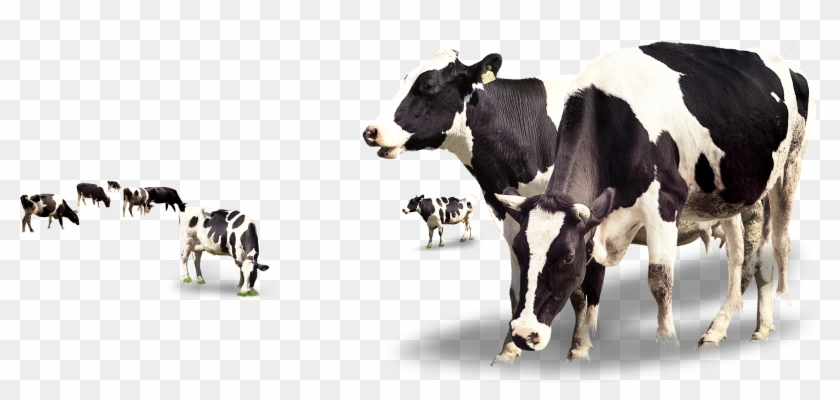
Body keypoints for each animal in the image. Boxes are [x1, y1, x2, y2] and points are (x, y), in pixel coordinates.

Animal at [362, 49, 768, 364]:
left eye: (427, 85)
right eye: (405, 78)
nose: (371, 131)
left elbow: (586, 287)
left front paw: (581, 345)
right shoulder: (514, 219)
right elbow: (519, 287)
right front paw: (509, 351)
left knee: (755, 263)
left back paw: (752, 329)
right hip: (726, 210)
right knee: (740, 262)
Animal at [493, 42, 813, 356]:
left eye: (567, 257)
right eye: (518, 251)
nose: (523, 333)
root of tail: (789, 67)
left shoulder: (666, 201)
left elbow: (659, 278)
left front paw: (667, 343)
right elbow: (585, 286)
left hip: (790, 165)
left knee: (772, 247)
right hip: (734, 198)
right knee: (745, 259)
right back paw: (739, 329)